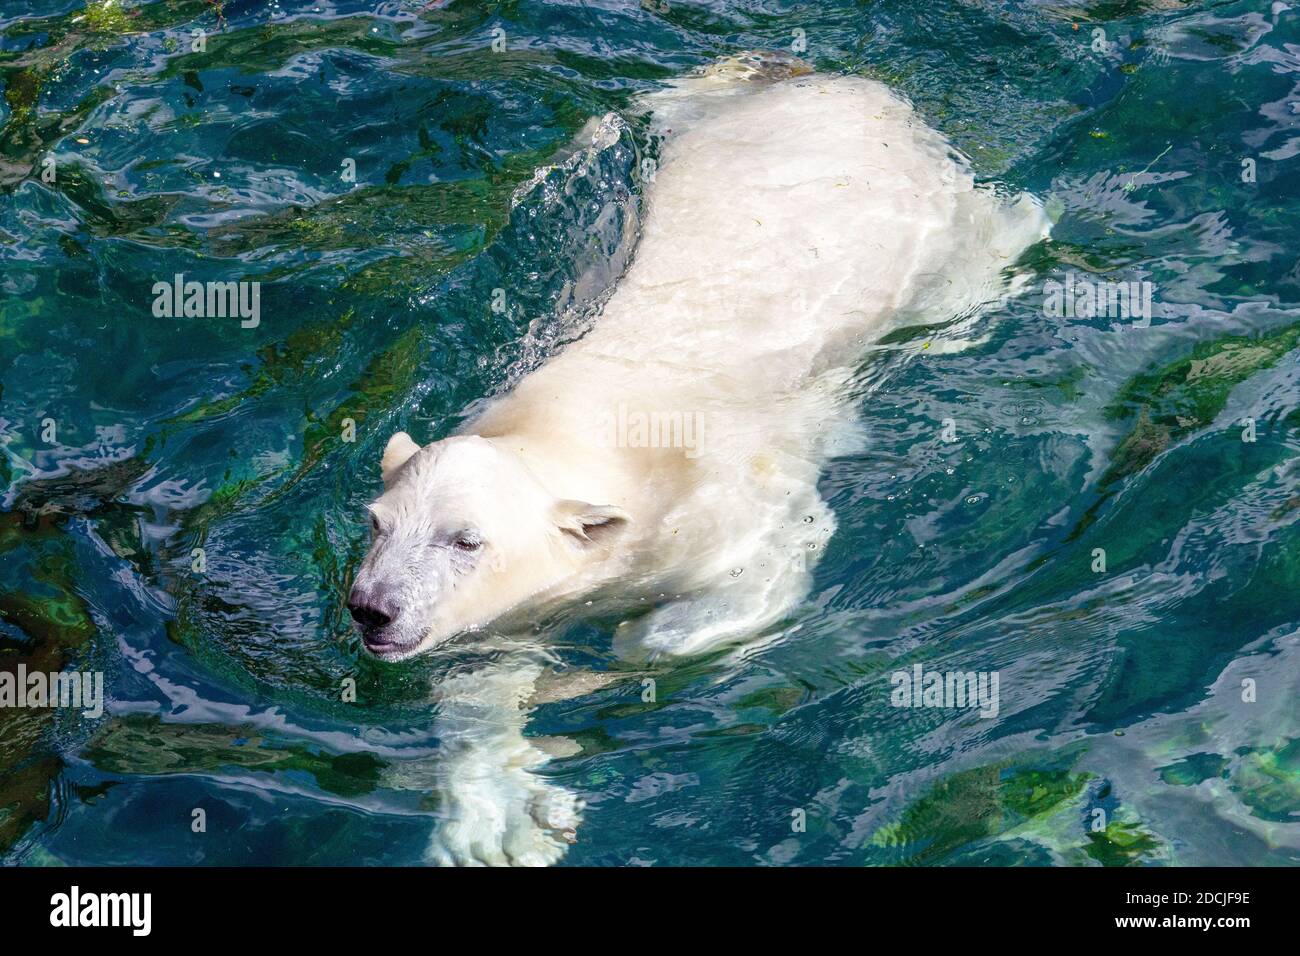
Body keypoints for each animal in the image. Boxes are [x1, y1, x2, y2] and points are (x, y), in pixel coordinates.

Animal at [349, 52, 1050, 865]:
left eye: (465, 540)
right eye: (377, 524)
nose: (371, 608)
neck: (578, 435)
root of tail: (831, 83)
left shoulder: (720, 502)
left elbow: (756, 572)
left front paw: (616, 655)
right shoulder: (521, 604)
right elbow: (482, 684)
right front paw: (498, 827)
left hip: (932, 221)